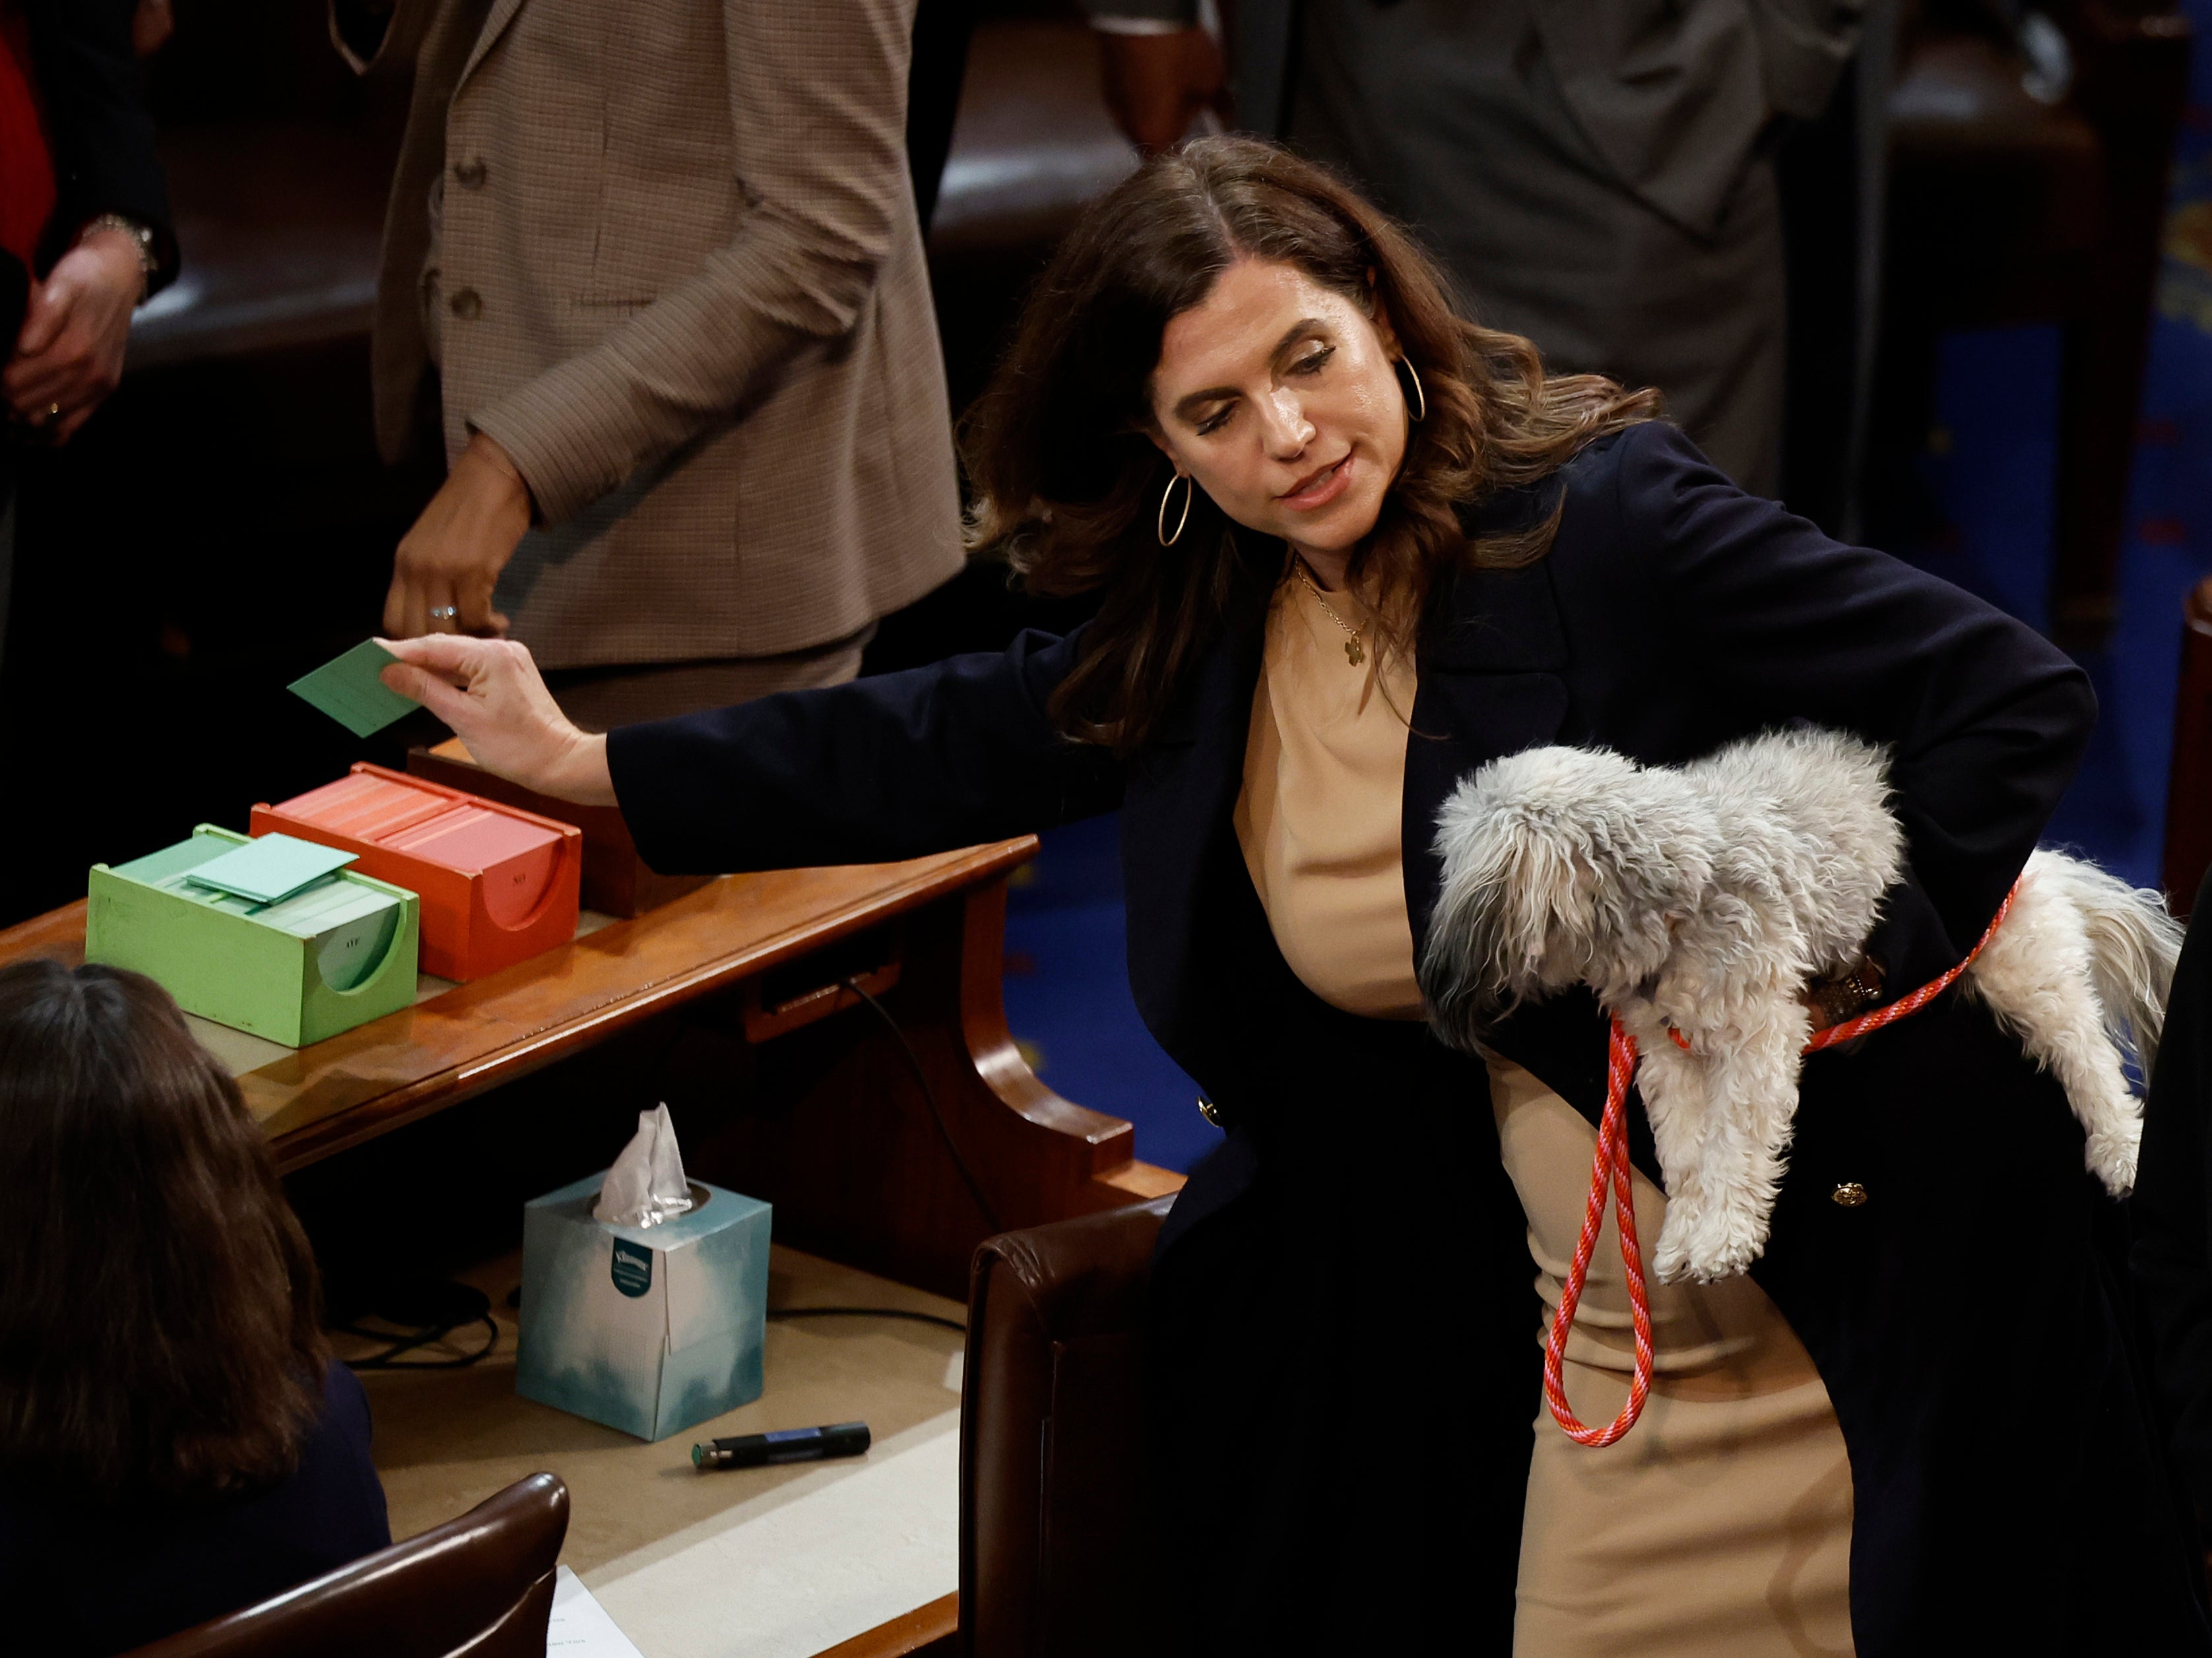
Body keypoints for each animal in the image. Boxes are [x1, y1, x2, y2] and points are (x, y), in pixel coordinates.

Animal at [1415, 725, 2176, 1282]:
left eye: (1448, 861)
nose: (1437, 973)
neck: (1680, 893)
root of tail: (2038, 856)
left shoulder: (1756, 1034)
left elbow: (1732, 1146)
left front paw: (1722, 1237)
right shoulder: (1668, 1053)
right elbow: (1687, 1153)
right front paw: (1685, 1237)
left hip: (2023, 967)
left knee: (2088, 1058)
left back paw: (2120, 1149)